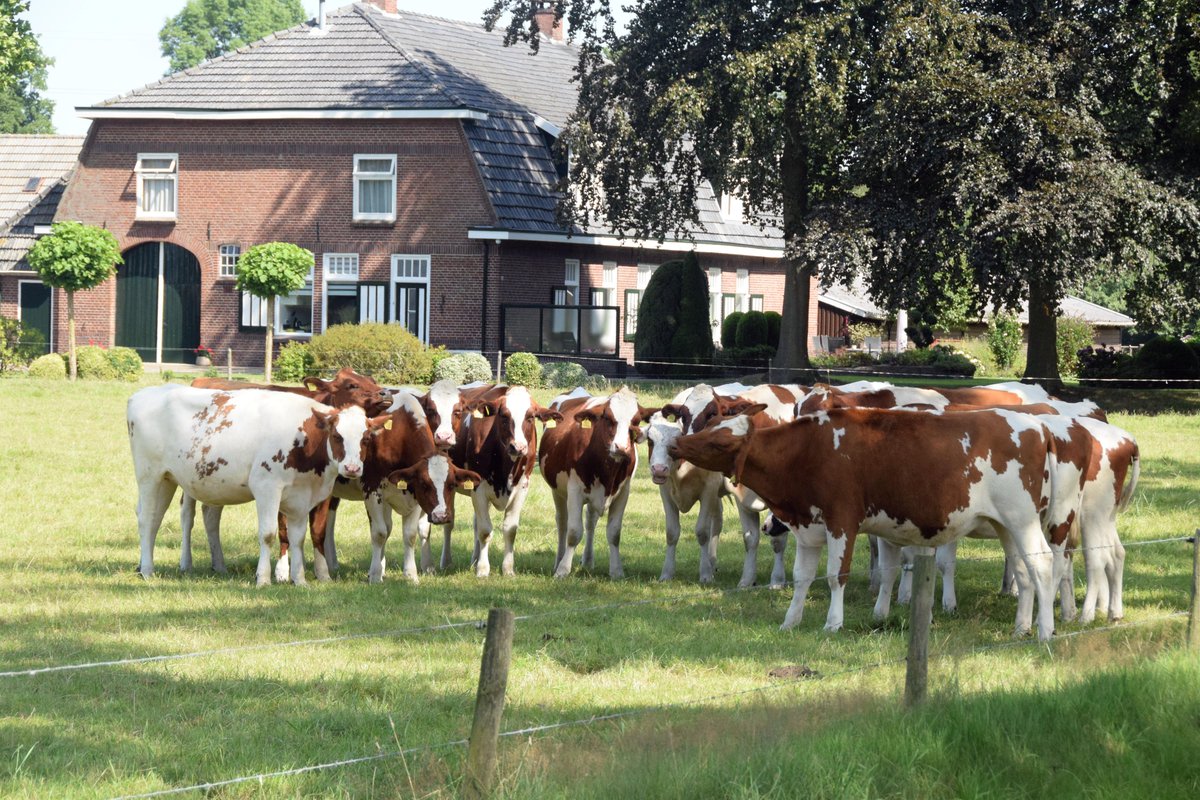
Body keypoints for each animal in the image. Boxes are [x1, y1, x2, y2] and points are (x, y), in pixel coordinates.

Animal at [127, 384, 382, 586]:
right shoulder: (266, 488)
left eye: (366, 438)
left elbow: (298, 538)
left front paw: (300, 580)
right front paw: (264, 578)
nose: (352, 468)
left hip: (167, 479)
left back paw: (146, 566)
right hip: (149, 476)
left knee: (155, 519)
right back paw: (148, 570)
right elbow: (268, 534)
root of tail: (142, 394)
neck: (302, 437)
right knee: (147, 518)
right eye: (338, 436)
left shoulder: (301, 497)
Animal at [458, 385, 561, 577]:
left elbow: (510, 529)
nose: (518, 447)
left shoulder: (522, 488)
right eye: (504, 416)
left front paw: (507, 569)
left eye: (530, 417)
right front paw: (483, 569)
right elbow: (485, 531)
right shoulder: (478, 488)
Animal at [539, 387, 658, 578]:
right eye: (608, 418)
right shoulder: (574, 490)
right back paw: (558, 561)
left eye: (636, 421)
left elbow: (614, 533)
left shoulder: (623, 492)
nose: (621, 447)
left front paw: (616, 571)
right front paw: (563, 570)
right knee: (562, 522)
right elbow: (574, 532)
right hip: (557, 490)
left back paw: (587, 561)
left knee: (590, 521)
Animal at [670, 406, 1061, 640]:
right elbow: (802, 578)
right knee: (1024, 571)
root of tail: (1038, 426)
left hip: (1023, 520)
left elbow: (835, 575)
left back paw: (1045, 631)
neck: (807, 451)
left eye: (720, 442)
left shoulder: (842, 520)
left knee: (1043, 564)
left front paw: (833, 623)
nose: (676, 445)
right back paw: (1021, 627)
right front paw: (790, 620)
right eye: (709, 424)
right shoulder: (808, 528)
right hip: (1006, 526)